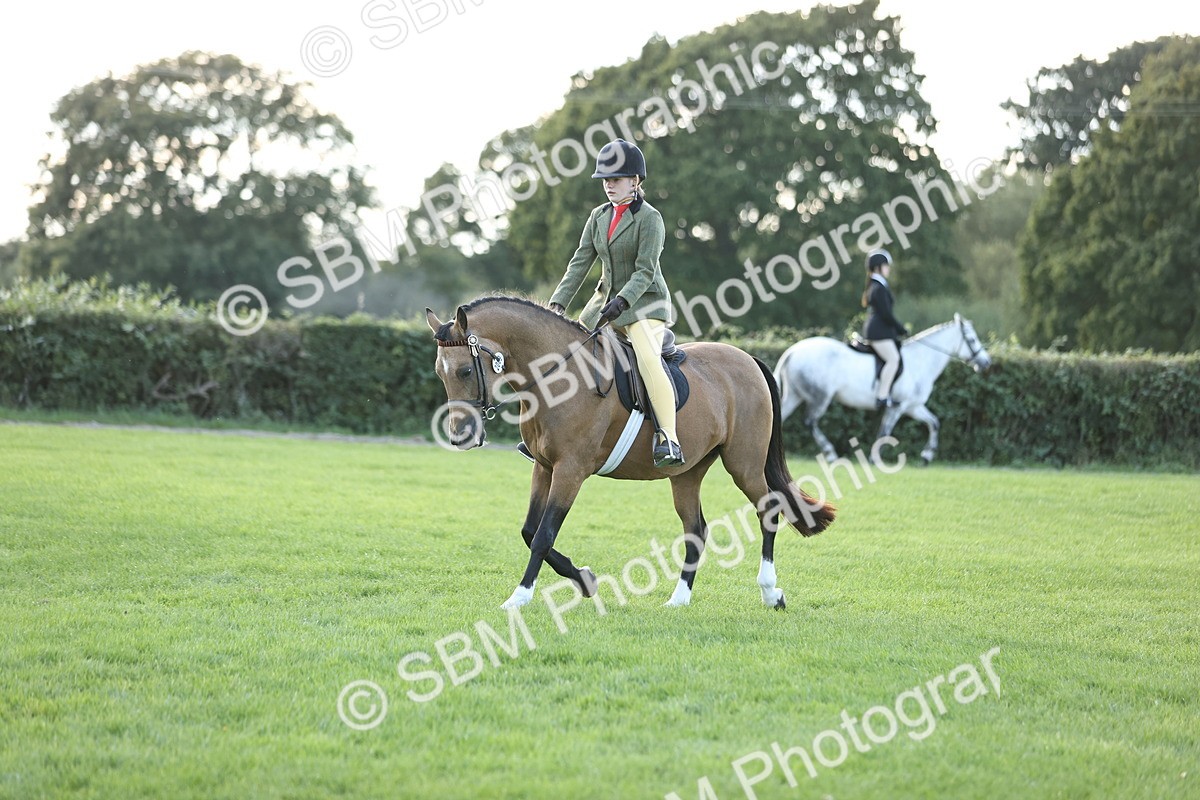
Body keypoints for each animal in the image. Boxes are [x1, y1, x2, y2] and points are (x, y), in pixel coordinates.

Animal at [426, 296, 835, 610]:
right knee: (696, 529)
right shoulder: (544, 467)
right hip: (687, 472)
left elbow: (543, 535)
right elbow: (530, 531)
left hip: (744, 464)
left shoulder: (571, 470)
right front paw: (585, 580)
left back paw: (770, 593)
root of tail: (749, 359)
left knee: (768, 510)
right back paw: (678, 599)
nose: (460, 436)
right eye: (439, 373)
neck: (557, 378)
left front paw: (520, 598)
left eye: (465, 371)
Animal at [772, 314, 991, 465]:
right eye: (972, 340)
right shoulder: (898, 407)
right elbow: (885, 432)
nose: (986, 363)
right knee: (810, 422)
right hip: (820, 397)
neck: (920, 361)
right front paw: (874, 459)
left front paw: (927, 456)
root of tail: (792, 351)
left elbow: (934, 423)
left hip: (795, 396)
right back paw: (831, 453)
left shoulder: (913, 407)